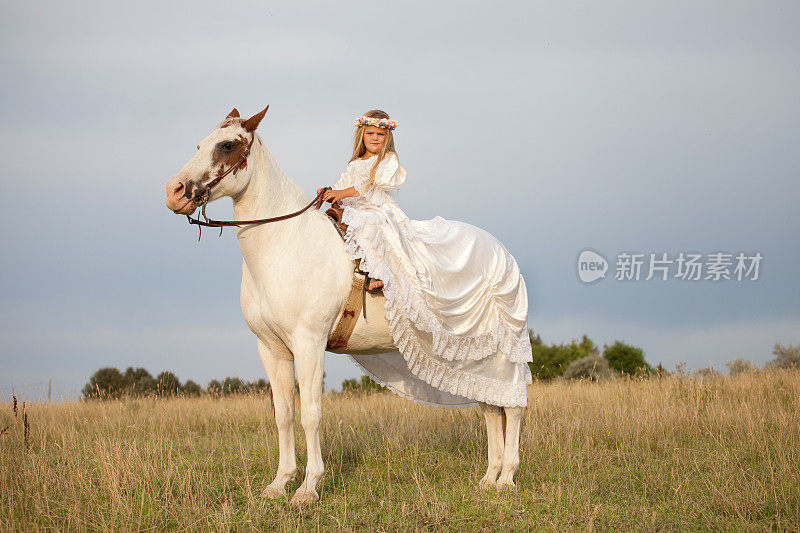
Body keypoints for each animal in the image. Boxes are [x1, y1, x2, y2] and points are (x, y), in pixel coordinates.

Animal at [165, 108, 524, 502]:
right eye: (200, 144)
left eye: (227, 145)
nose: (174, 191)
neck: (285, 245)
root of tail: (503, 254)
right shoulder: (272, 349)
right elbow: (283, 414)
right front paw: (279, 483)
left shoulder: (309, 343)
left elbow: (310, 413)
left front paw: (308, 488)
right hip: (476, 360)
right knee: (490, 407)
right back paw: (488, 478)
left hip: (501, 356)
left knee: (511, 408)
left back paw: (506, 478)